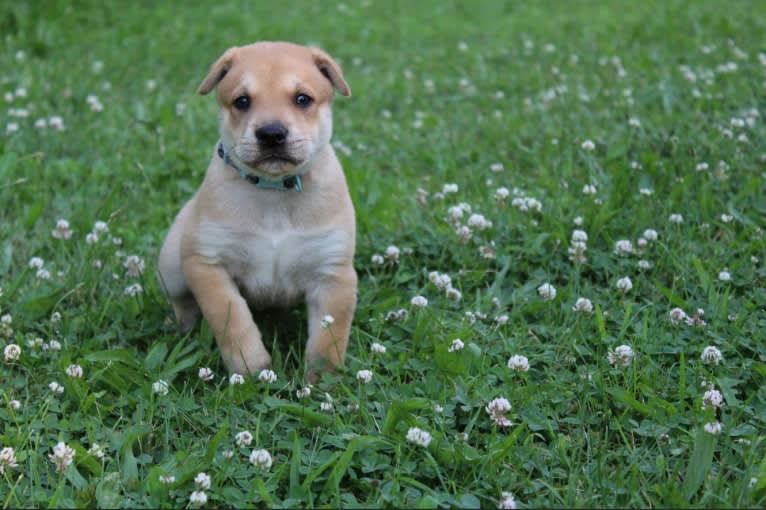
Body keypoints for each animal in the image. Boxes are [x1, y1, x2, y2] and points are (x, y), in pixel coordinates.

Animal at [160, 41, 358, 378]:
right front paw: (251, 367)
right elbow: (232, 318)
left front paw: (321, 382)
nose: (271, 133)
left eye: (302, 99)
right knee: (183, 304)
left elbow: (328, 340)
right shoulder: (207, 263)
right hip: (172, 265)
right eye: (242, 101)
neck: (274, 192)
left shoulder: (333, 273)